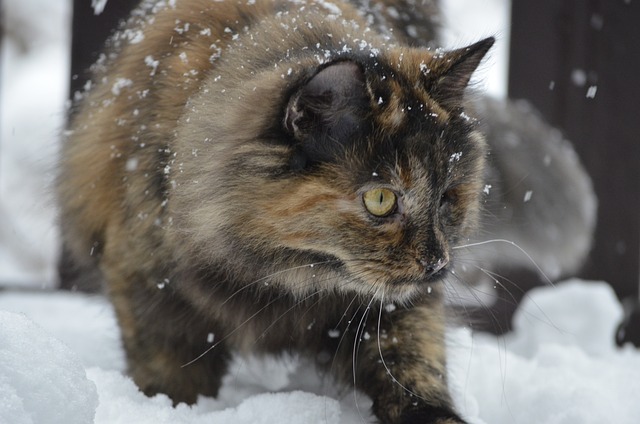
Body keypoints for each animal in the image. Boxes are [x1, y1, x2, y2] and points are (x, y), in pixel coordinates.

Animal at [57, 0, 596, 424]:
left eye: (448, 196)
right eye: (381, 199)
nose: (438, 264)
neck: (283, 279)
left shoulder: (395, 313)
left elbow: (415, 372)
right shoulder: (150, 289)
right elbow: (169, 375)